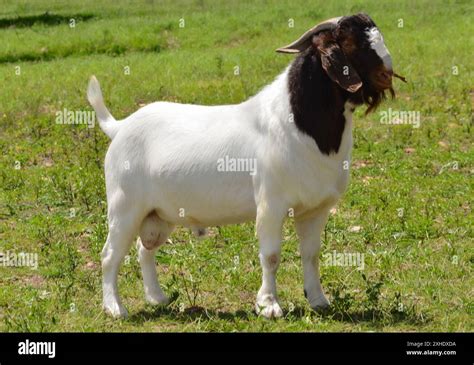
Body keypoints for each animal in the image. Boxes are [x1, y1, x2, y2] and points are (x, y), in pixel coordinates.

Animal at [87, 12, 402, 318]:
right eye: (350, 41)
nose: (386, 74)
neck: (296, 123)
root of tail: (120, 127)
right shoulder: (270, 204)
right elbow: (271, 256)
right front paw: (268, 306)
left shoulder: (315, 209)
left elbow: (311, 254)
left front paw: (319, 301)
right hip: (124, 207)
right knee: (109, 255)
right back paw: (115, 308)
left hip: (159, 215)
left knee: (145, 249)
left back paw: (157, 298)